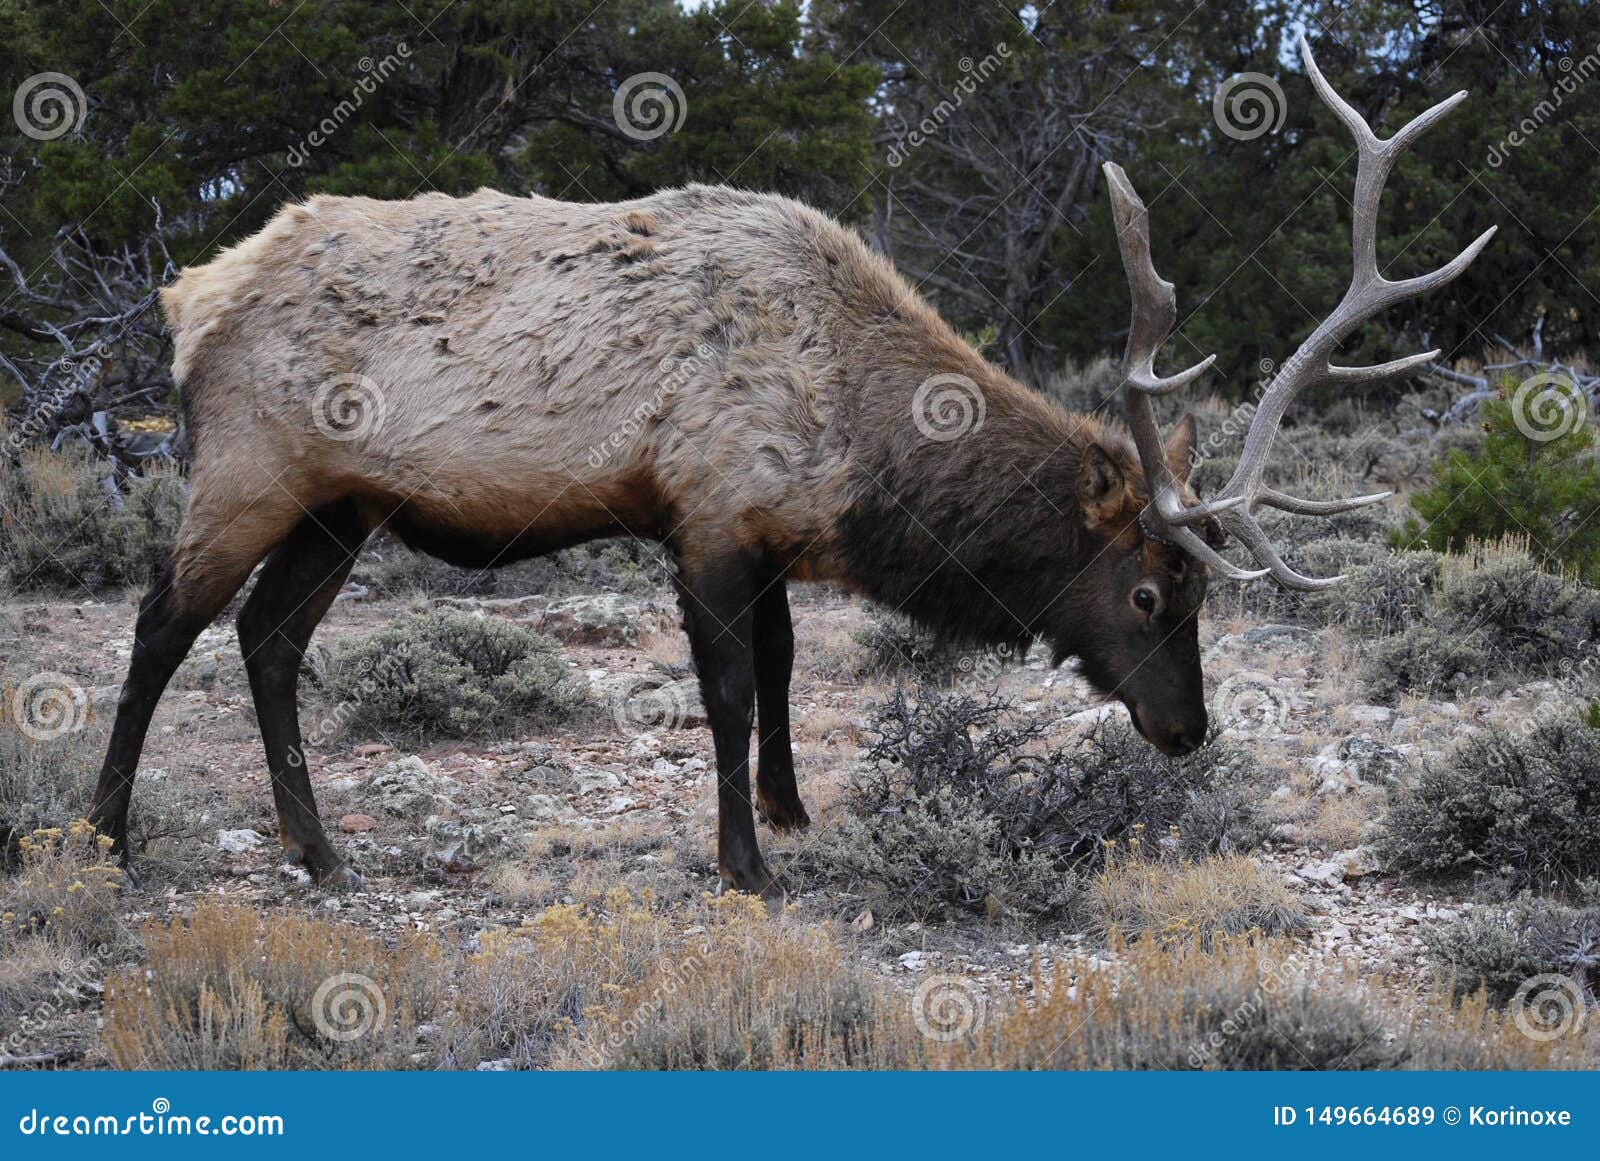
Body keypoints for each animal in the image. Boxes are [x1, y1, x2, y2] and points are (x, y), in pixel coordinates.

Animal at [88, 36, 1491, 903]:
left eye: (1201, 599)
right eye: (1151, 594)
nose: (1187, 729)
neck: (859, 449)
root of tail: (186, 296)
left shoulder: (766, 538)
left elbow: (779, 672)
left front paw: (793, 813)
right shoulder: (707, 512)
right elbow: (721, 695)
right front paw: (745, 864)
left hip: (342, 504)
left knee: (267, 639)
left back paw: (319, 853)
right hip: (248, 466)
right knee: (163, 623)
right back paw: (105, 834)